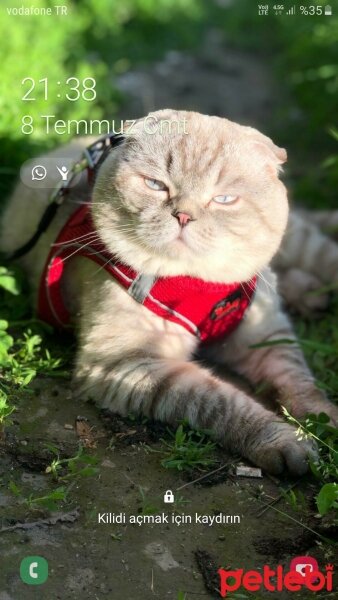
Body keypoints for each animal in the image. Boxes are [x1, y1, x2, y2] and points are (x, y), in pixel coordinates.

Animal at [1, 110, 336, 476]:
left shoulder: (265, 335)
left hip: (301, 245)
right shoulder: (127, 364)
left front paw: (326, 420)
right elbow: (222, 401)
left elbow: (300, 380)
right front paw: (286, 441)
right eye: (157, 185)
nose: (184, 216)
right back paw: (310, 296)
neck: (199, 282)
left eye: (224, 199)